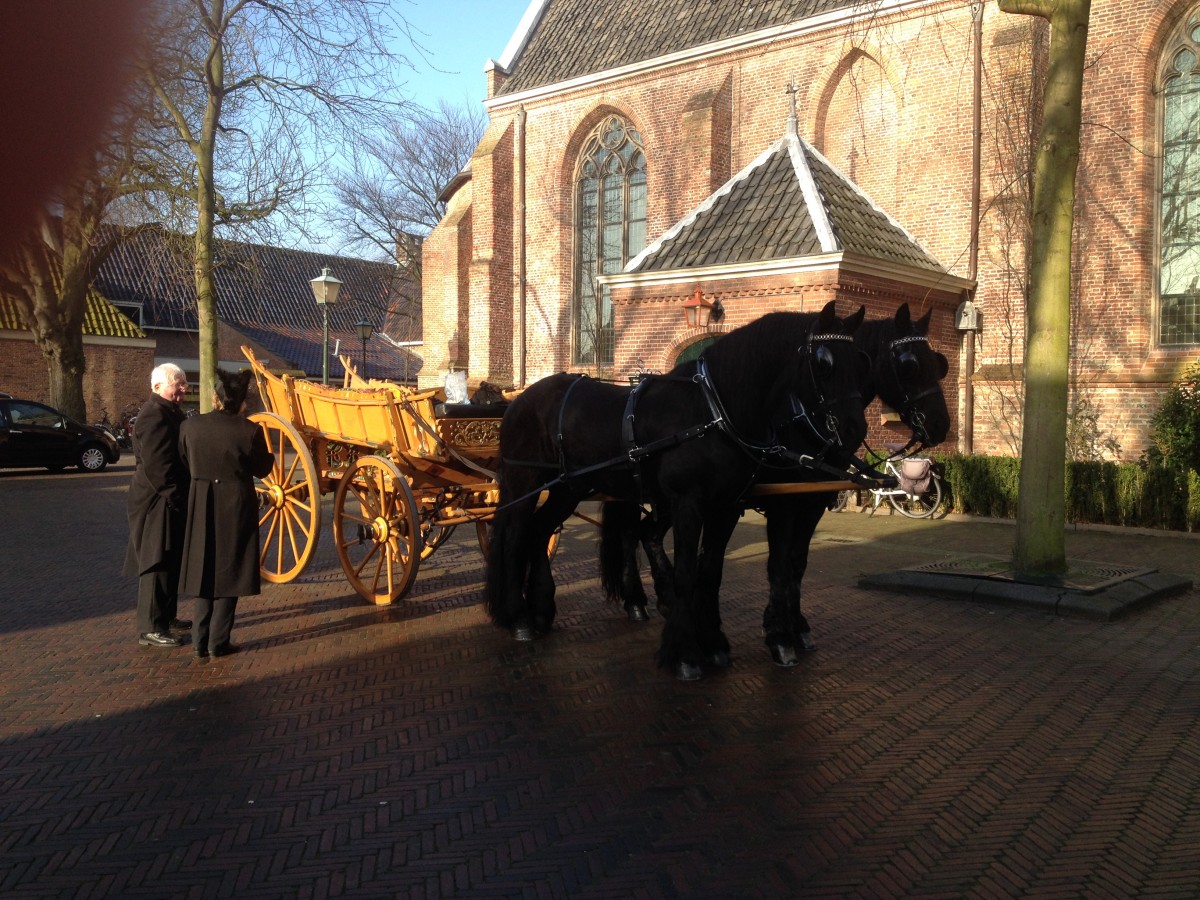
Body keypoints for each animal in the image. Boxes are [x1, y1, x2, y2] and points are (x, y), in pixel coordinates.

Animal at [482, 301, 868, 676]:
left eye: (861, 361)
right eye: (824, 362)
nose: (853, 431)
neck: (713, 411)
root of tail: (520, 399)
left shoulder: (728, 506)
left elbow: (711, 572)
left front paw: (714, 643)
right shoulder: (690, 503)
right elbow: (687, 573)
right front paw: (685, 653)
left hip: (569, 488)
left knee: (539, 530)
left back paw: (541, 609)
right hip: (524, 482)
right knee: (514, 535)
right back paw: (518, 617)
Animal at [604, 307, 950, 667]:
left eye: (938, 362)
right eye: (909, 364)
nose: (941, 424)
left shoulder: (811, 503)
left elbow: (796, 563)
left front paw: (793, 625)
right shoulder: (784, 503)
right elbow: (778, 565)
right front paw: (780, 635)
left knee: (644, 533)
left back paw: (659, 599)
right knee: (632, 534)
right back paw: (640, 600)